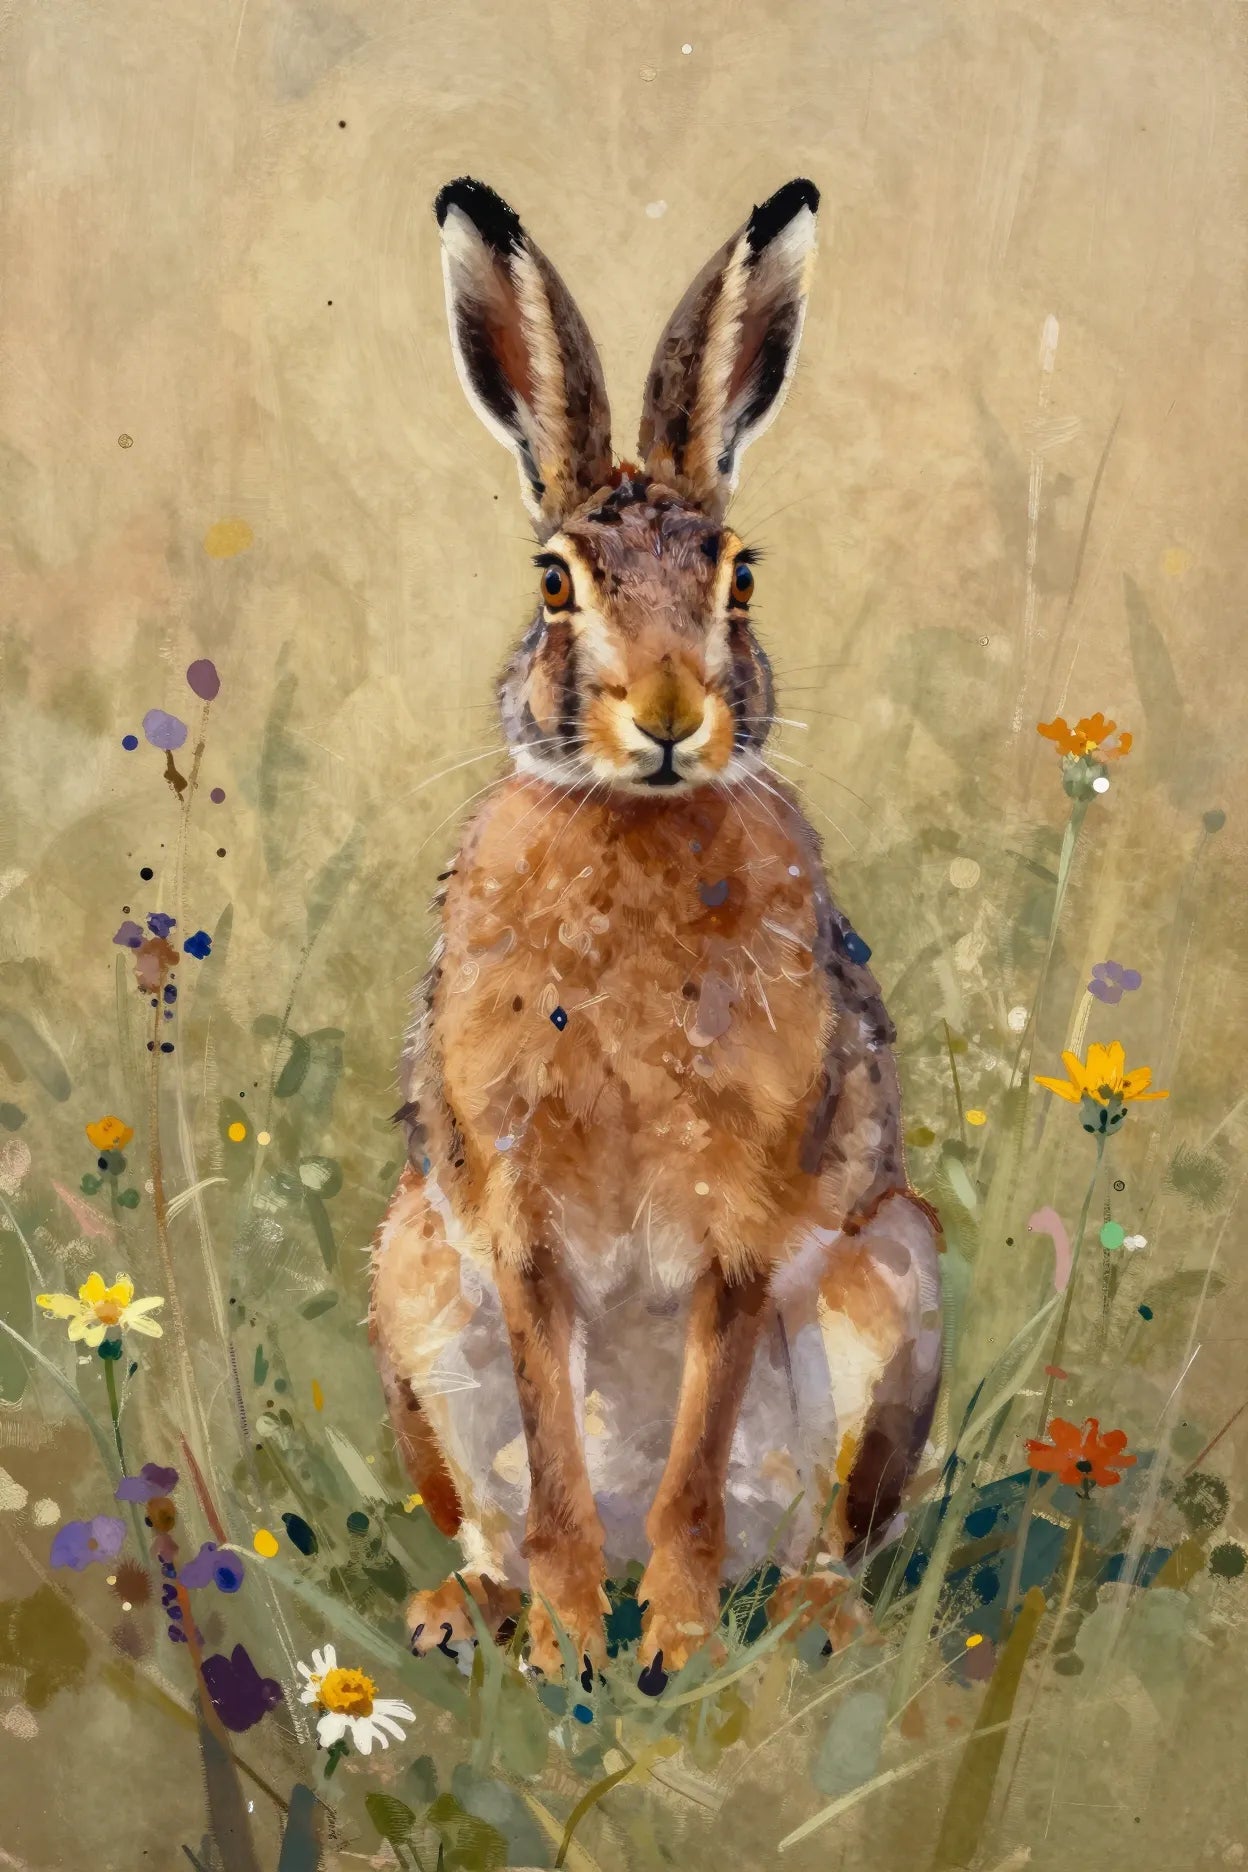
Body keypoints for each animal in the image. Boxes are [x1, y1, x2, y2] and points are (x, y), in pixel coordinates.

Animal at [370, 175, 943, 1685]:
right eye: (553, 583)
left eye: (738, 577)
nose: (674, 712)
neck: (630, 823)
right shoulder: (513, 1219)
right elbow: (556, 1461)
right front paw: (574, 1645)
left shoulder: (743, 1213)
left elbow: (694, 1456)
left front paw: (669, 1649)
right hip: (412, 1284)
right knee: (493, 1518)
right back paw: (475, 1611)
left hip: (894, 1287)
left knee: (819, 1531)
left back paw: (793, 1617)